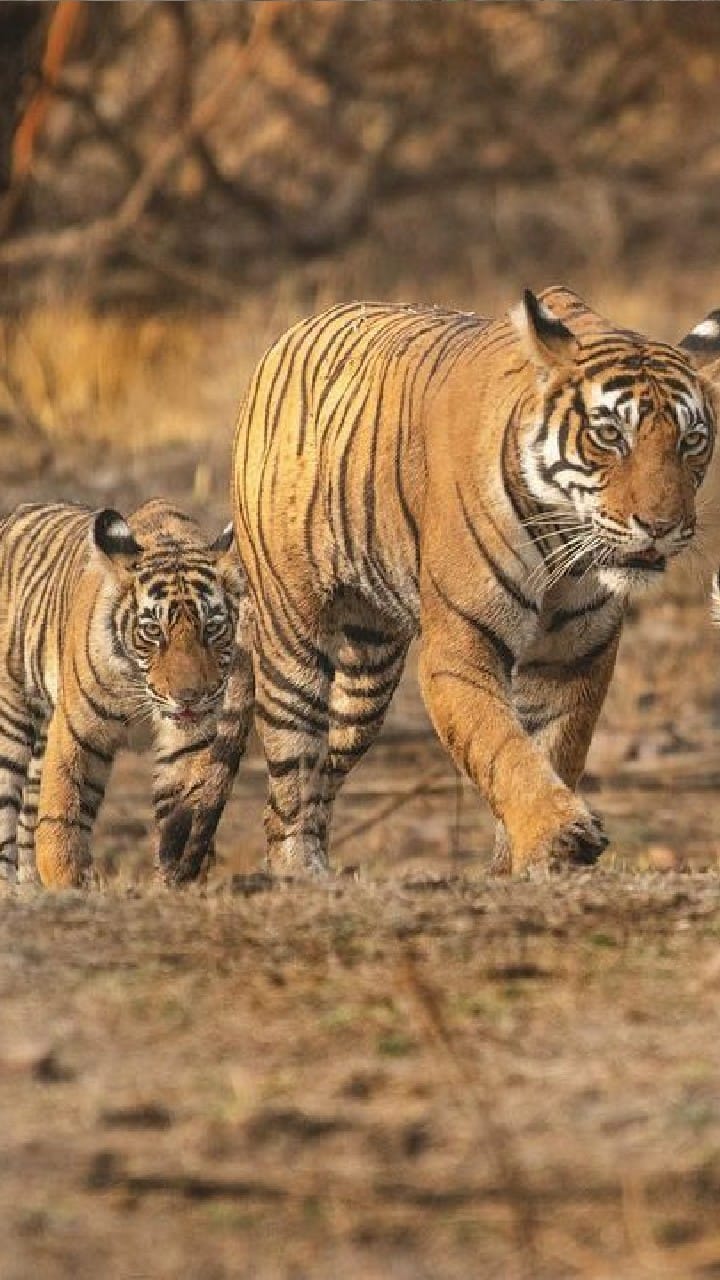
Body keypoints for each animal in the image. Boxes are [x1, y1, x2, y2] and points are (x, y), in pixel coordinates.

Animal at [0, 498, 253, 889]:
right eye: (153, 631)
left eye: (212, 628)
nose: (188, 696)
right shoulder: (78, 728)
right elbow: (63, 805)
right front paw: (66, 878)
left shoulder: (189, 740)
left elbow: (187, 804)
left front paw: (180, 871)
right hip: (12, 717)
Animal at [162, 287, 720, 880]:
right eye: (610, 435)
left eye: (692, 441)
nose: (660, 526)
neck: (564, 543)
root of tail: (288, 335)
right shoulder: (460, 645)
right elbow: (503, 746)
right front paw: (558, 834)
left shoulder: (576, 656)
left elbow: (552, 747)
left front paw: (523, 863)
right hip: (292, 637)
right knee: (291, 770)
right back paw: (298, 870)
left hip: (368, 675)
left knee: (324, 768)